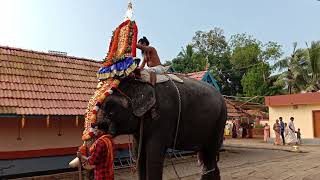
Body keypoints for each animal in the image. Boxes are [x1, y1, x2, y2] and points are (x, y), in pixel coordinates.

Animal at [97, 74, 228, 179]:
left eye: (110, 113)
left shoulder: (163, 119)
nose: (100, 127)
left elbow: (153, 155)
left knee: (210, 154)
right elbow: (140, 155)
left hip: (219, 121)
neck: (139, 82)